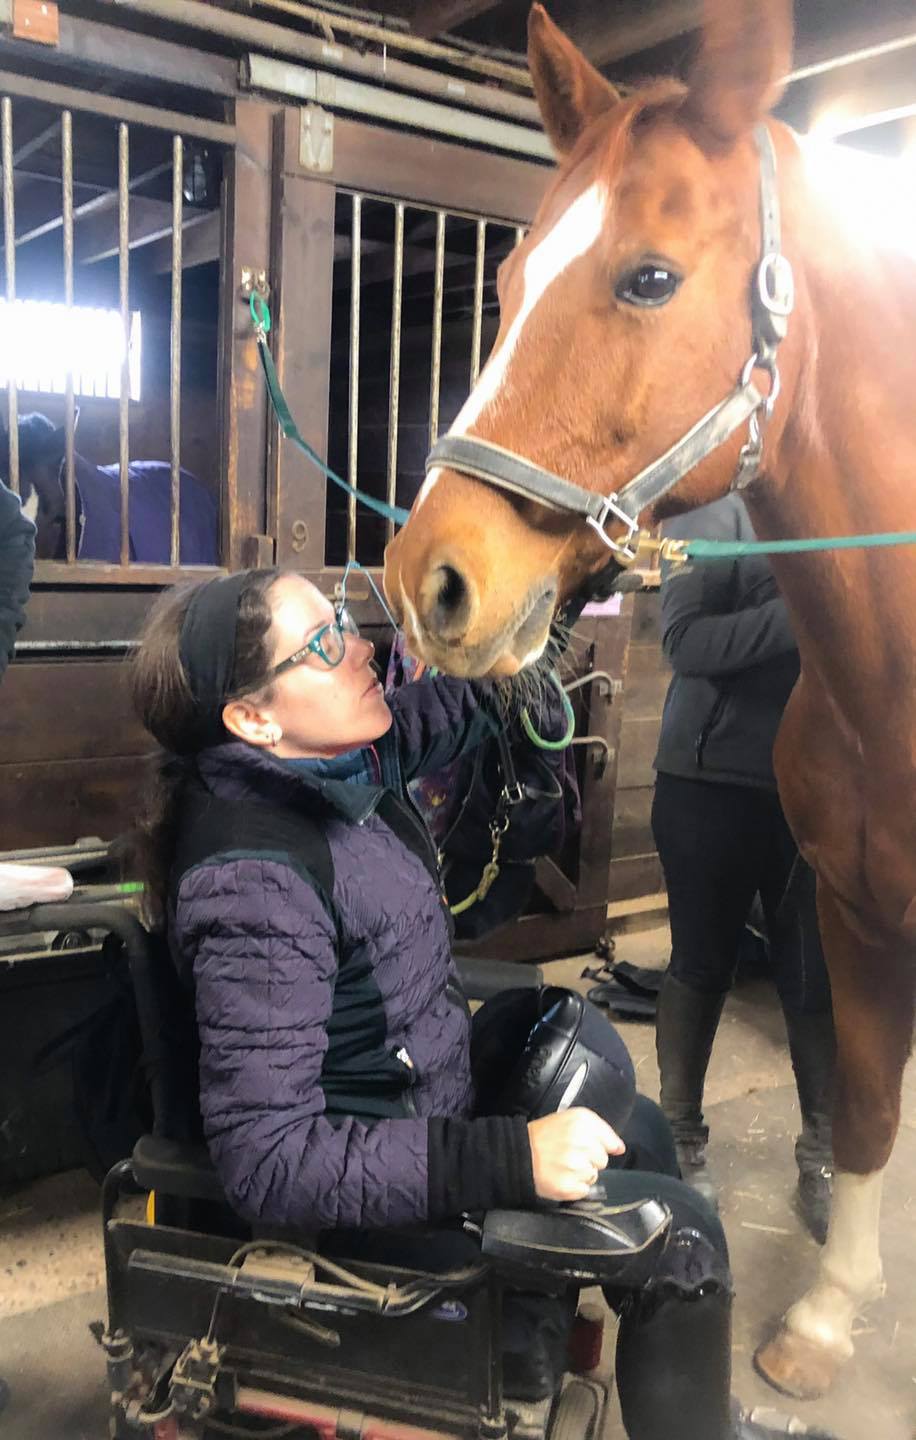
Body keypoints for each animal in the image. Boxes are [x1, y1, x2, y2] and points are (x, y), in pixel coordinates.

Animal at [383, 0, 916, 1404]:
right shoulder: (855, 915)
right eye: (507, 284)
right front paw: (828, 1314)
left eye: (651, 279)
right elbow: (867, 1101)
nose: (427, 580)